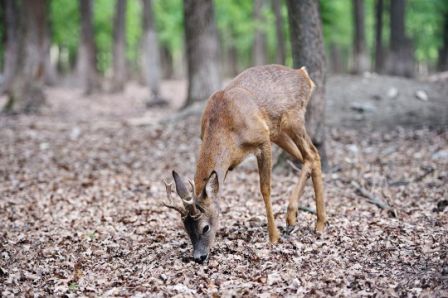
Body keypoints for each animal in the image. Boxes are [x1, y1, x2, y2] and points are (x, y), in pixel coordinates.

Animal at [163, 64, 328, 262]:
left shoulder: (262, 140)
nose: (199, 257)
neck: (225, 127)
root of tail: (303, 74)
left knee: (312, 154)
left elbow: (265, 188)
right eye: (186, 228)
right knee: (307, 157)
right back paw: (300, 219)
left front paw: (273, 237)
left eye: (205, 227)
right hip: (278, 131)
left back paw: (314, 223)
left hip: (293, 119)